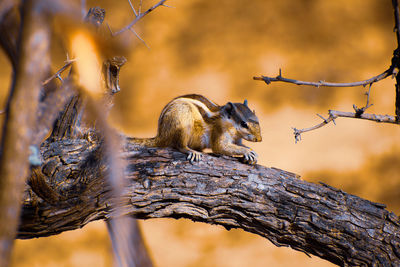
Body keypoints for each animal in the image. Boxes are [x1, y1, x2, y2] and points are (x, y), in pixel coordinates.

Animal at [129, 94, 262, 165]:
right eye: (244, 124)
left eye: (257, 119)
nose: (259, 139)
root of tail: (160, 135)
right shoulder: (219, 131)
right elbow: (221, 147)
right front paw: (247, 152)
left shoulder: (237, 139)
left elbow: (239, 145)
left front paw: (252, 152)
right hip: (183, 118)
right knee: (179, 145)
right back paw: (191, 151)